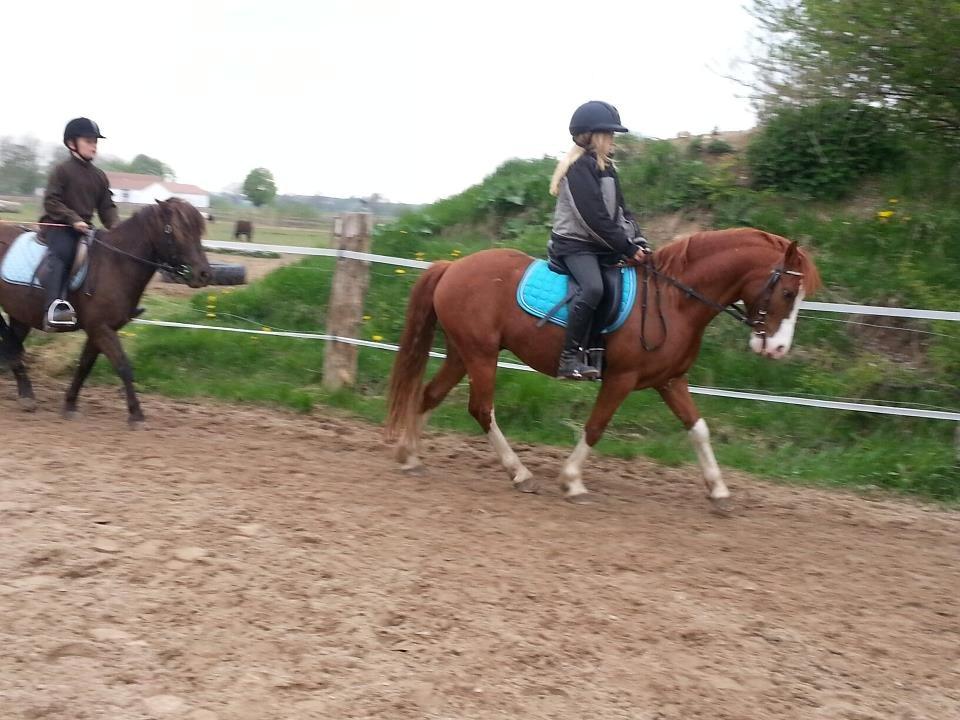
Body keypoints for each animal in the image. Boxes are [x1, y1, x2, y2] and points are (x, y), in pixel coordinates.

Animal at [0, 198, 212, 427]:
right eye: (175, 230)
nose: (204, 274)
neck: (116, 263)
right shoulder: (101, 328)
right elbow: (123, 366)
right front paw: (136, 414)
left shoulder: (99, 330)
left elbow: (85, 365)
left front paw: (70, 404)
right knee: (10, 343)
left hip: (20, 313)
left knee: (14, 345)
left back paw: (25, 393)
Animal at [386, 228, 822, 509]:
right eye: (787, 292)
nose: (777, 349)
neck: (673, 301)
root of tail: (451, 267)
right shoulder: (621, 378)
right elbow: (596, 426)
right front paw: (572, 481)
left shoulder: (670, 380)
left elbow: (698, 429)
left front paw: (718, 490)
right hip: (480, 355)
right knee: (481, 409)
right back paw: (520, 474)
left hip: (463, 353)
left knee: (430, 395)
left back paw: (410, 457)